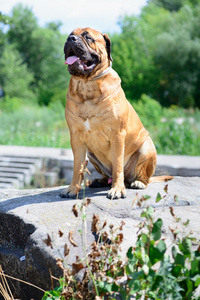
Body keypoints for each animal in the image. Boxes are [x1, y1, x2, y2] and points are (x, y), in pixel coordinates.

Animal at [60, 27, 172, 198]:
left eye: (88, 37)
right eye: (69, 35)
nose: (70, 39)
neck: (87, 84)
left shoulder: (117, 134)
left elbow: (118, 164)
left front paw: (117, 190)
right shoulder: (76, 137)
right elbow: (77, 167)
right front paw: (72, 189)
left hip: (146, 149)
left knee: (142, 177)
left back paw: (137, 183)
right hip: (91, 154)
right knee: (107, 175)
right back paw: (99, 181)